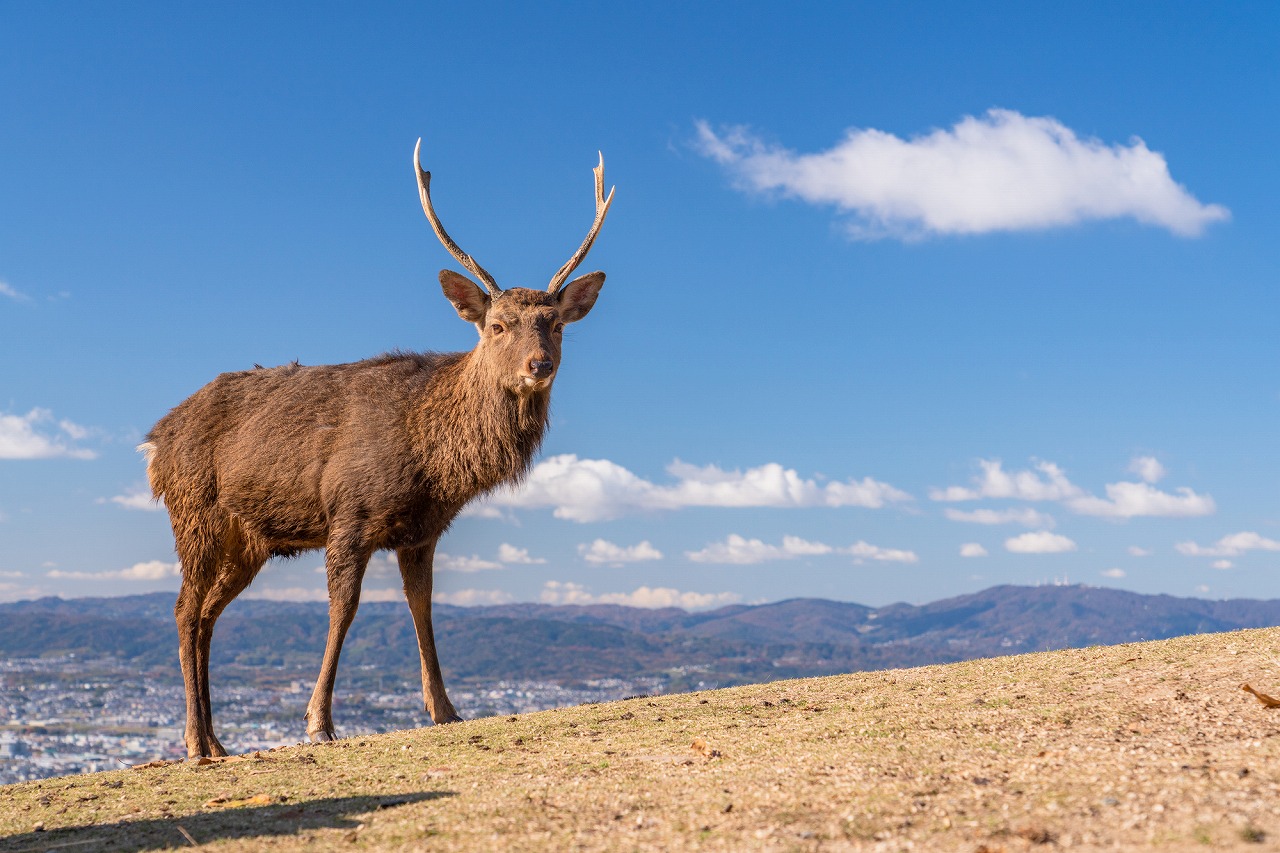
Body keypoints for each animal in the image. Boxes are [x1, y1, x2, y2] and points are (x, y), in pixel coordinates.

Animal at [145, 139, 614, 758]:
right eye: (496, 325)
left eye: (555, 324)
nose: (540, 365)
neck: (433, 462)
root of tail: (154, 441)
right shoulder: (349, 512)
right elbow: (343, 608)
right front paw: (319, 721)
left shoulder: (422, 530)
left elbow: (423, 607)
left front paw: (446, 710)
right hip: (194, 510)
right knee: (183, 609)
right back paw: (197, 742)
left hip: (248, 538)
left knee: (206, 615)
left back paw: (217, 741)